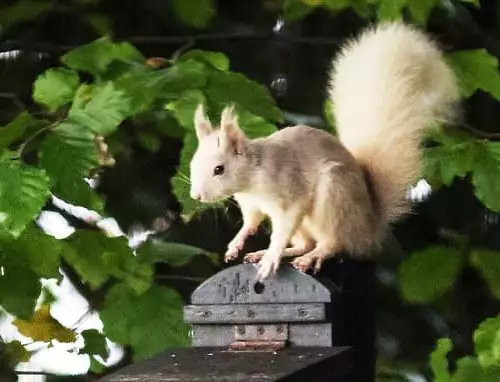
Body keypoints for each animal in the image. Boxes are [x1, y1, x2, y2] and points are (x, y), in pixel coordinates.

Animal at [187, 22, 458, 282]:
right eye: (192, 166)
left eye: (219, 169)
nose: (196, 196)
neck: (252, 178)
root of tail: (370, 228)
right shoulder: (252, 205)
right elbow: (250, 223)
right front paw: (236, 244)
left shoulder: (289, 192)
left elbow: (284, 226)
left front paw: (271, 256)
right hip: (311, 222)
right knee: (306, 243)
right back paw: (269, 253)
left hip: (333, 197)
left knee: (333, 243)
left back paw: (310, 255)